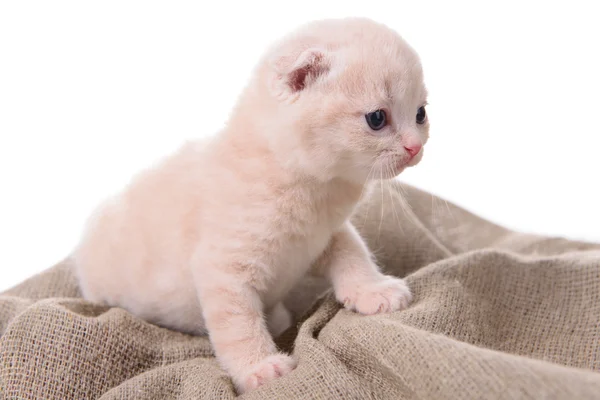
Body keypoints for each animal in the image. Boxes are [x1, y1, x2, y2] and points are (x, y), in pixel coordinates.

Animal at [74, 17, 426, 392]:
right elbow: (237, 325)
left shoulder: (326, 234)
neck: (310, 188)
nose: (415, 147)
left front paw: (373, 291)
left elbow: (353, 252)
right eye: (377, 118)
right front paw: (260, 368)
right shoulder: (223, 268)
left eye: (421, 114)